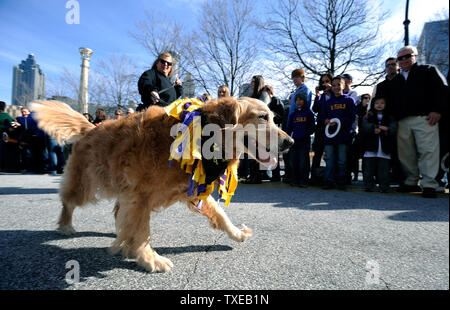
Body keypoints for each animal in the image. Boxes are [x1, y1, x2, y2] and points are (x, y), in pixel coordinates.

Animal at [30, 96, 292, 272]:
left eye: (273, 117)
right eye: (263, 117)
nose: (290, 142)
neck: (204, 136)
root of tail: (91, 127)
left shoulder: (191, 189)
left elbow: (221, 214)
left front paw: (237, 233)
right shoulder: (139, 197)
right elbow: (142, 231)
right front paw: (149, 259)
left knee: (117, 212)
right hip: (85, 184)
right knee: (68, 202)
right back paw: (66, 225)